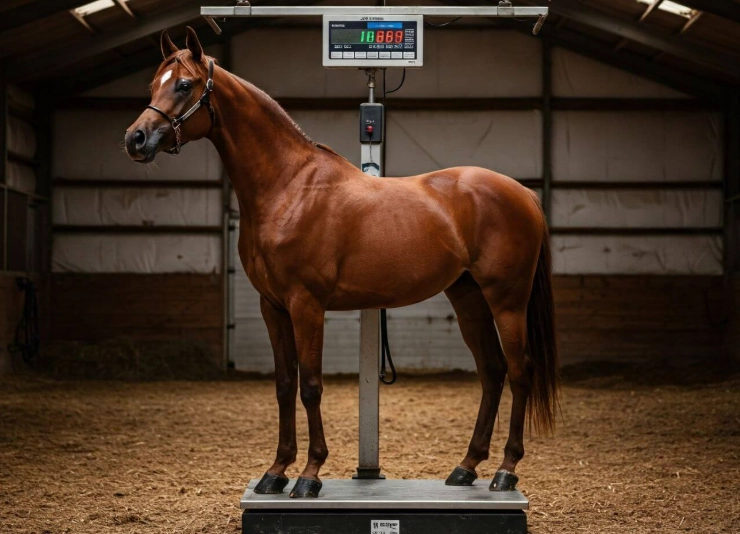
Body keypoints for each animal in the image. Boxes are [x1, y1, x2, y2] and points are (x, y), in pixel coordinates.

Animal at [124, 27, 559, 499]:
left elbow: (311, 387)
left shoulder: (306, 305)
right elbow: (284, 385)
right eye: (153, 84)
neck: (289, 187)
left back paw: (506, 470)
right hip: (468, 297)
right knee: (492, 371)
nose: (135, 139)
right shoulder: (272, 307)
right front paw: (276, 471)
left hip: (507, 301)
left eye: (184, 85)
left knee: (519, 371)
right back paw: (466, 467)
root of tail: (522, 192)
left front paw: (309, 475)